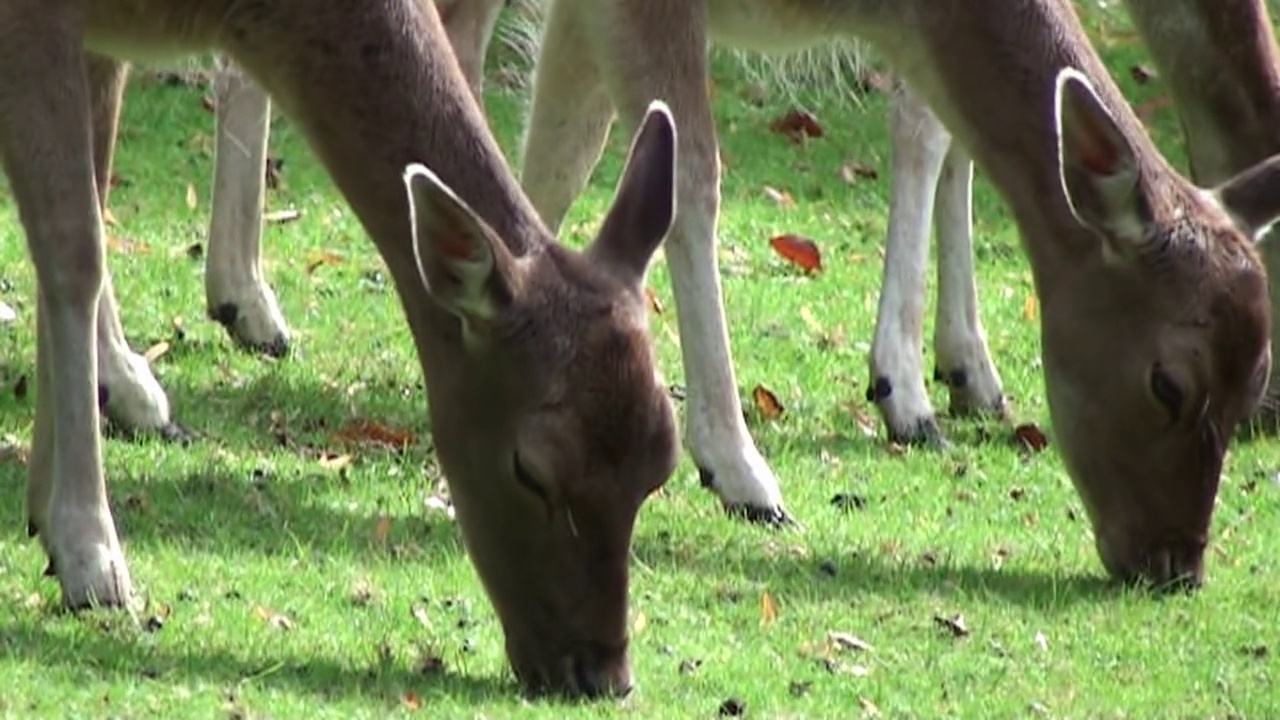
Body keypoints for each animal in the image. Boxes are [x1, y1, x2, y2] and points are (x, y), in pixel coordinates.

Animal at [7, 0, 680, 696]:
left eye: (661, 466)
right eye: (531, 469)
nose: (604, 674)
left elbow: (84, 211)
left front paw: (46, 515)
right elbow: (74, 247)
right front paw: (90, 556)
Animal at [514, 0, 1280, 586]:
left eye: (1249, 384)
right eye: (1168, 384)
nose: (1177, 568)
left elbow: (559, 154)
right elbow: (683, 175)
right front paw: (744, 475)